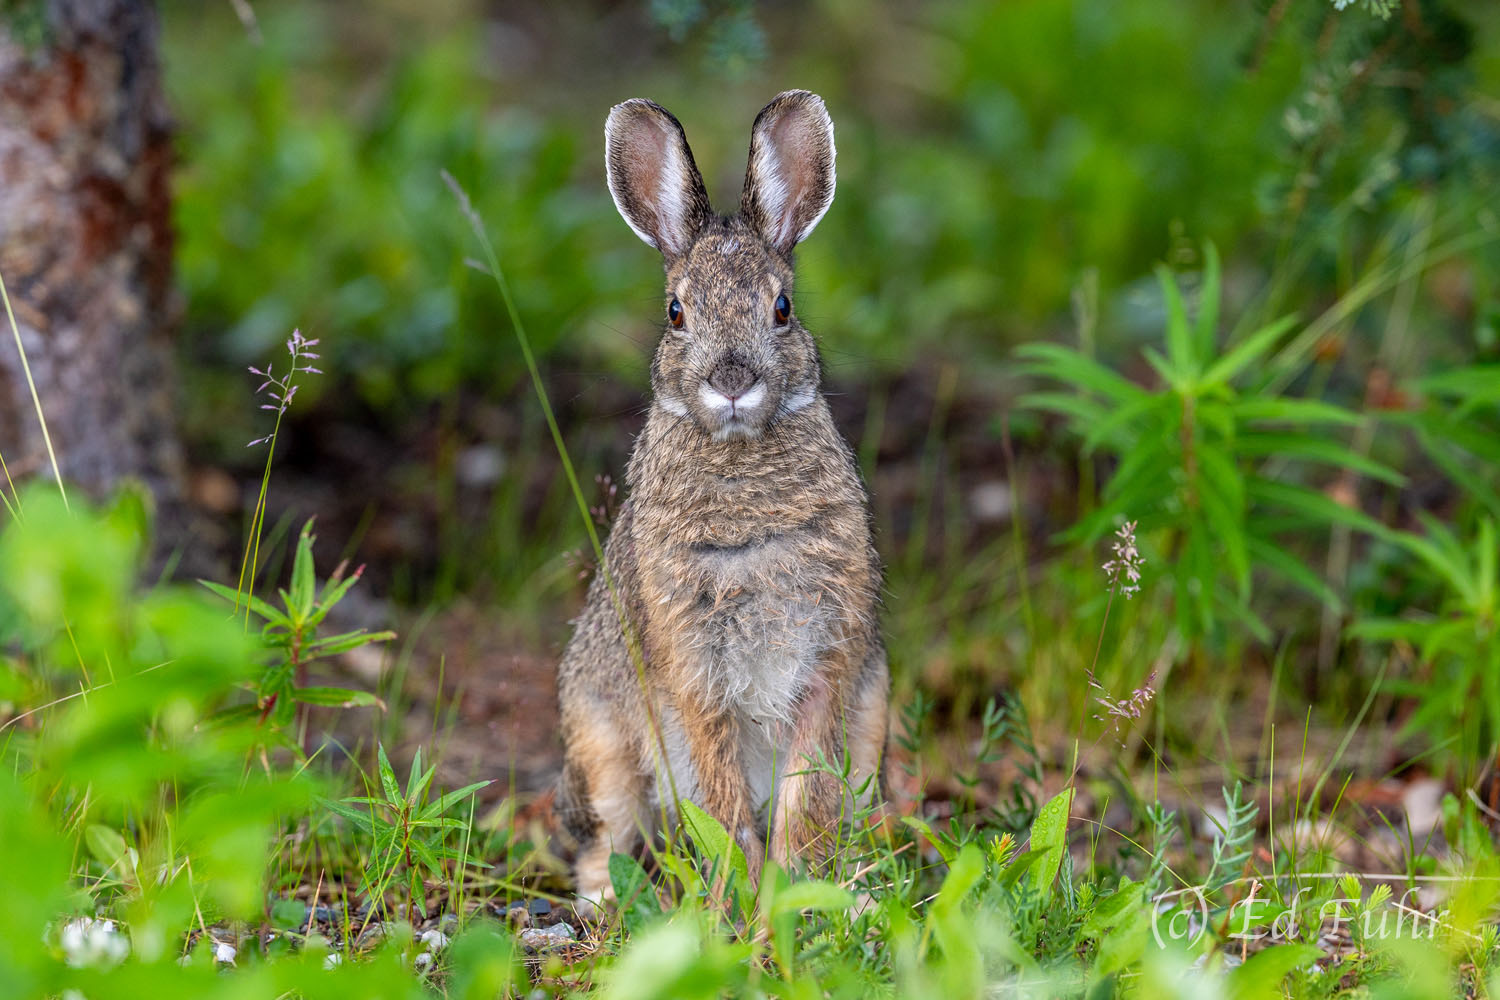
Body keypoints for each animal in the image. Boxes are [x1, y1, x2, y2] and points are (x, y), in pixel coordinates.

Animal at [556, 90, 888, 914]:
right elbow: (725, 797)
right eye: (677, 312)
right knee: (606, 835)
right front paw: (741, 897)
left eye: (783, 308)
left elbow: (804, 794)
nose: (732, 379)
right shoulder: (692, 669)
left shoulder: (830, 660)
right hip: (602, 746)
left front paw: (790, 891)